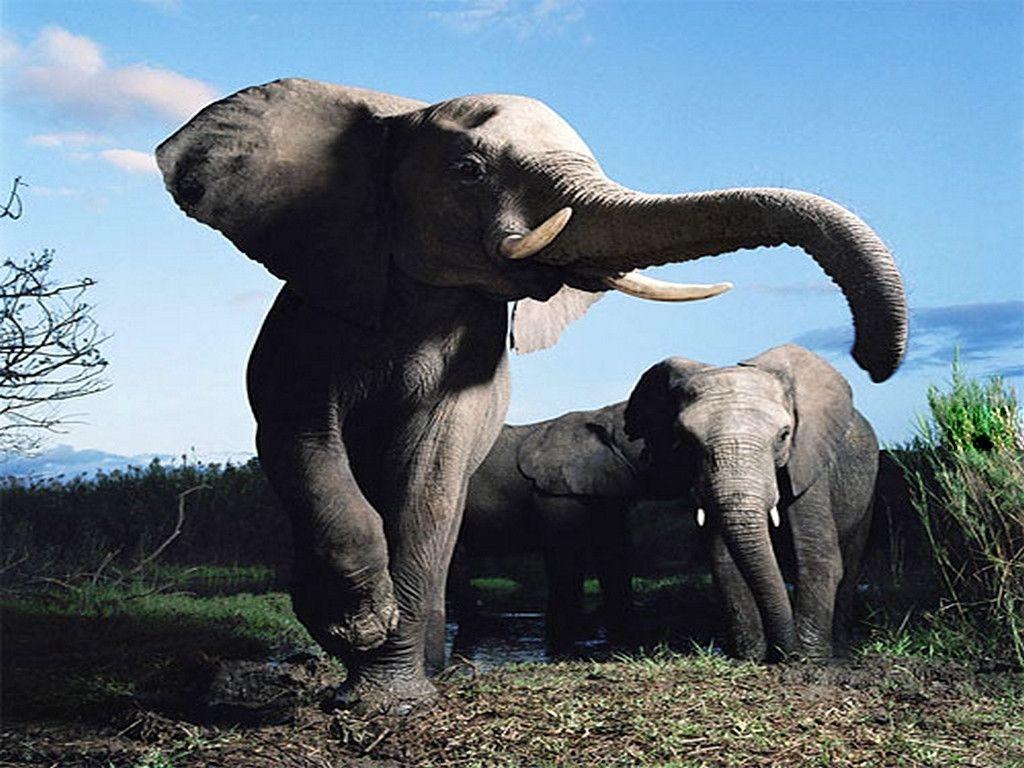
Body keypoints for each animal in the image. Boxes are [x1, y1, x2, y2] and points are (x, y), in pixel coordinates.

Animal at [624, 344, 879, 661]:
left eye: (784, 435)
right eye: (685, 439)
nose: (786, 653)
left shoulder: (809, 462)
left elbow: (819, 556)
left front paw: (812, 658)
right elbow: (724, 562)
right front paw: (751, 656)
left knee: (852, 559)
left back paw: (841, 647)